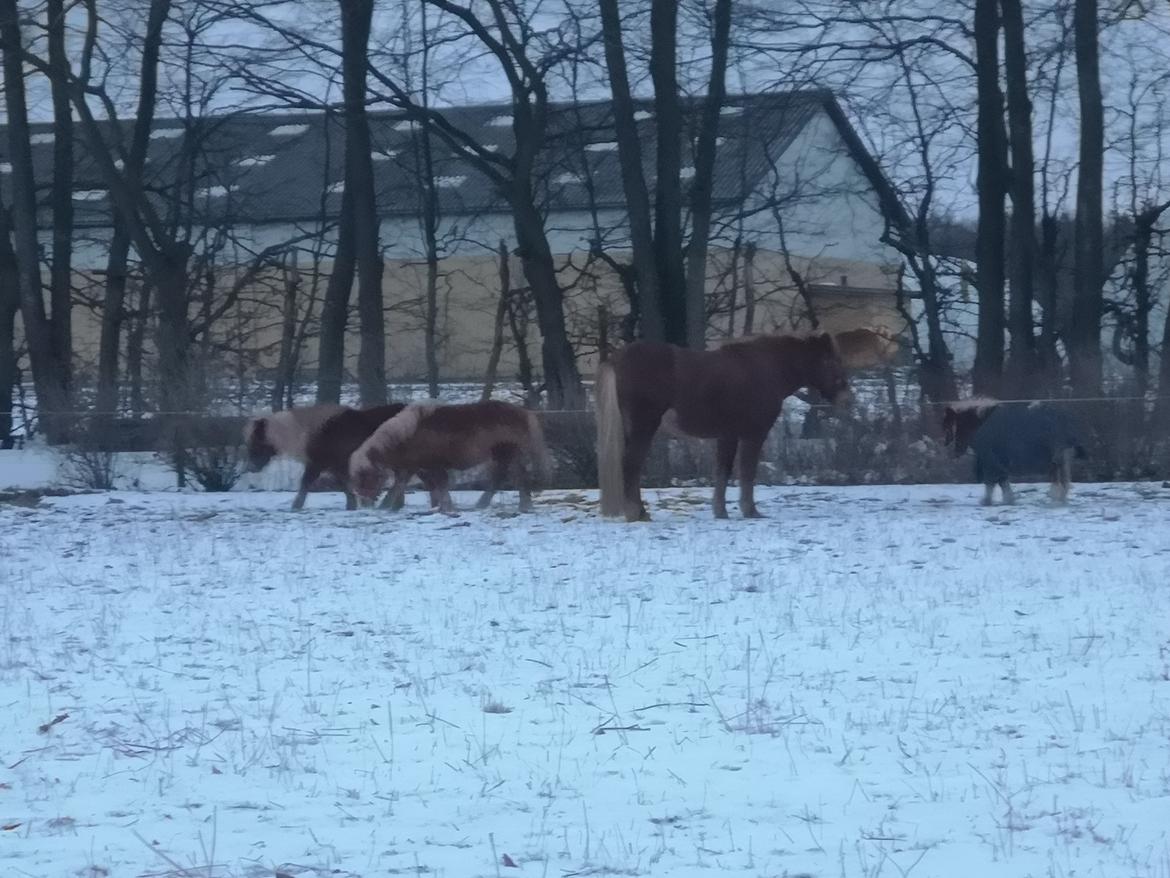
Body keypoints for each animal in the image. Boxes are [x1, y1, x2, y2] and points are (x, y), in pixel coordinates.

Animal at [348, 400, 549, 512]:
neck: (410, 433)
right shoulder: (414, 467)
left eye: (366, 477)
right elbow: (403, 484)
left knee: (514, 477)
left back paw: (522, 505)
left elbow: (440, 485)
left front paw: (447, 507)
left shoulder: (432, 466)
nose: (365, 503)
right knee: (503, 478)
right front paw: (390, 506)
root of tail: (523, 412)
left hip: (507, 454)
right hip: (504, 456)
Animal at [599, 332, 856, 522]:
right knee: (631, 464)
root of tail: (617, 358)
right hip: (644, 426)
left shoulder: (728, 436)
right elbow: (747, 472)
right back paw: (637, 513)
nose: (847, 398)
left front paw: (720, 511)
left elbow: (723, 471)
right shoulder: (753, 435)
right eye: (830, 361)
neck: (767, 369)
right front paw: (750, 510)